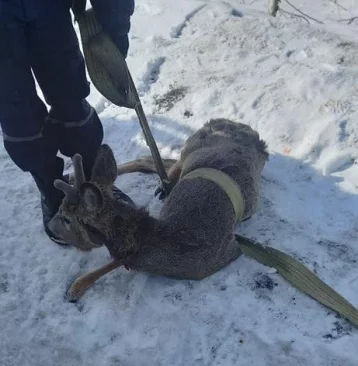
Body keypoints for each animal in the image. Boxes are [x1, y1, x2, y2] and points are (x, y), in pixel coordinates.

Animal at [49, 118, 268, 302]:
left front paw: (74, 289)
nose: (50, 227)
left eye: (67, 219)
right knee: (157, 163)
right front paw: (75, 288)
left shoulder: (226, 253)